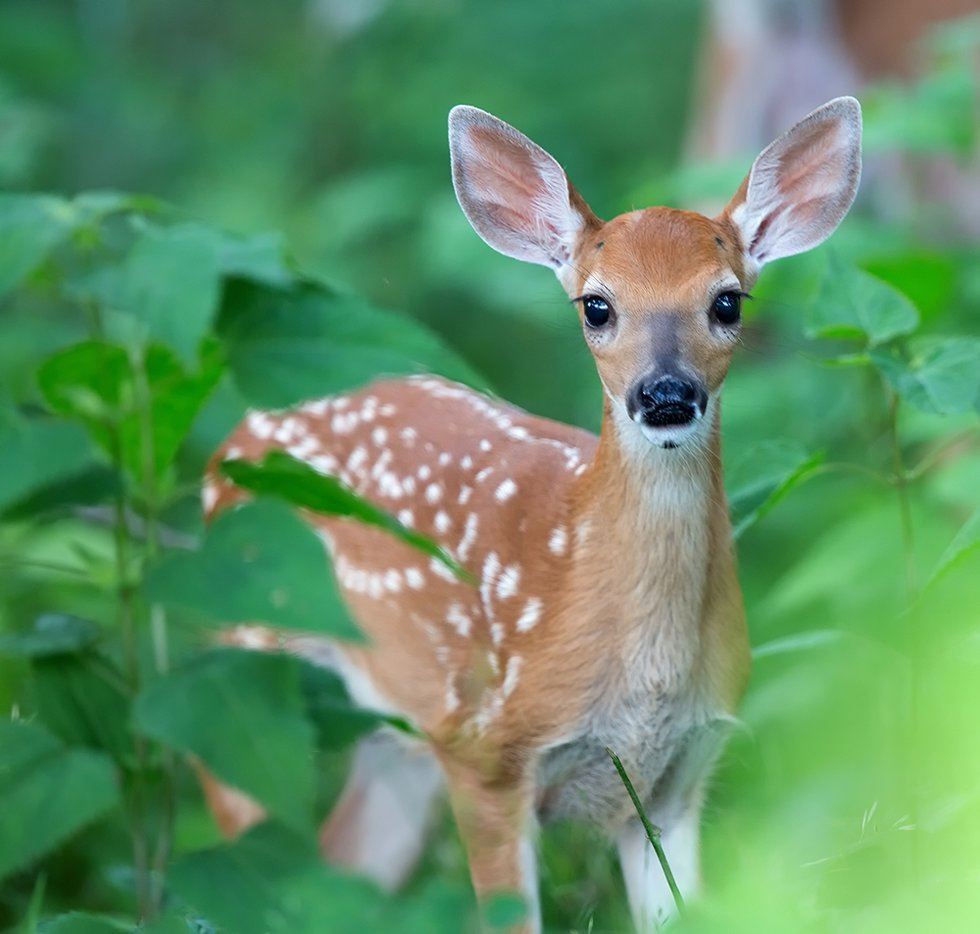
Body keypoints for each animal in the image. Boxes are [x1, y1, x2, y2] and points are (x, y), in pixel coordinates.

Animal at [199, 96, 862, 931]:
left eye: (727, 301)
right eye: (597, 306)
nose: (665, 395)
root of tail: (232, 441)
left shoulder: (680, 776)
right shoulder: (489, 753)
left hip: (402, 735)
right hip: (234, 663)